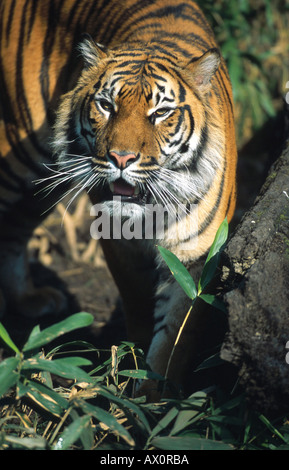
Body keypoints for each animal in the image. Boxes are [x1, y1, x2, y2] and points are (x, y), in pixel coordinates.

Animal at [0, 0, 236, 398]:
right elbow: (138, 308)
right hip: (20, 148)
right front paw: (132, 372)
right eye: (106, 105)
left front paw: (156, 398)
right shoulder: (118, 245)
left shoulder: (196, 257)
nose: (121, 158)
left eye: (160, 112)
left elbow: (176, 335)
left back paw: (28, 299)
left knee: (14, 228)